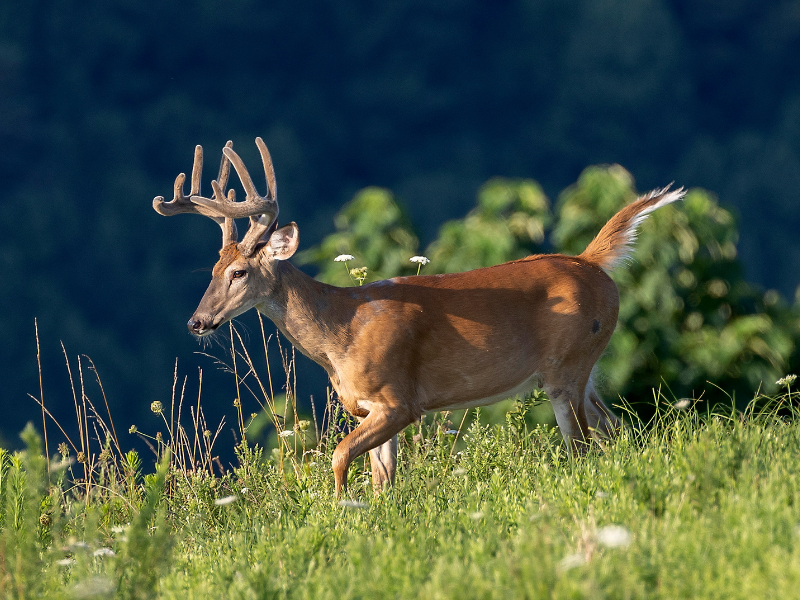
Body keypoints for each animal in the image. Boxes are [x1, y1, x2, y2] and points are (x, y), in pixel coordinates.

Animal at [153, 138, 684, 494]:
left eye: (240, 271)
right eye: (212, 270)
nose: (196, 322)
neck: (340, 332)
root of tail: (592, 262)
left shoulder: (399, 399)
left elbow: (339, 457)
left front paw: (337, 511)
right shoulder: (371, 408)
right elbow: (382, 481)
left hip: (567, 366)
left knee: (585, 445)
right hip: (586, 369)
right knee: (617, 429)